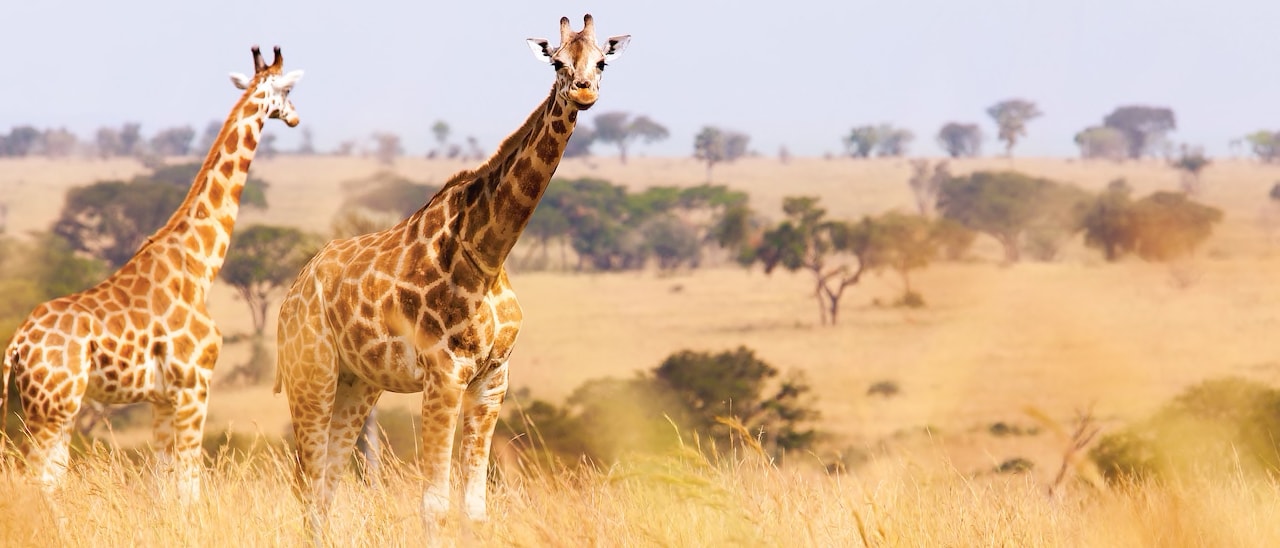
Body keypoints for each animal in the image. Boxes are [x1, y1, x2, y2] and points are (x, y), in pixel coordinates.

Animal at [0, 46, 303, 504]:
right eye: (287, 91)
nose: (296, 118)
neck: (200, 265)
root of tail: (16, 345)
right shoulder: (195, 384)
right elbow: (190, 482)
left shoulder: (163, 399)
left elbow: (164, 483)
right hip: (52, 408)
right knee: (32, 481)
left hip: (56, 409)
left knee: (49, 481)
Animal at [275, 14, 629, 536]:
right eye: (557, 62)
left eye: (601, 60)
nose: (583, 91)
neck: (488, 253)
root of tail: (291, 293)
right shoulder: (444, 374)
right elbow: (435, 505)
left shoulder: (492, 379)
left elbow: (475, 507)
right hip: (311, 373)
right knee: (307, 484)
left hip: (358, 383)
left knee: (325, 487)